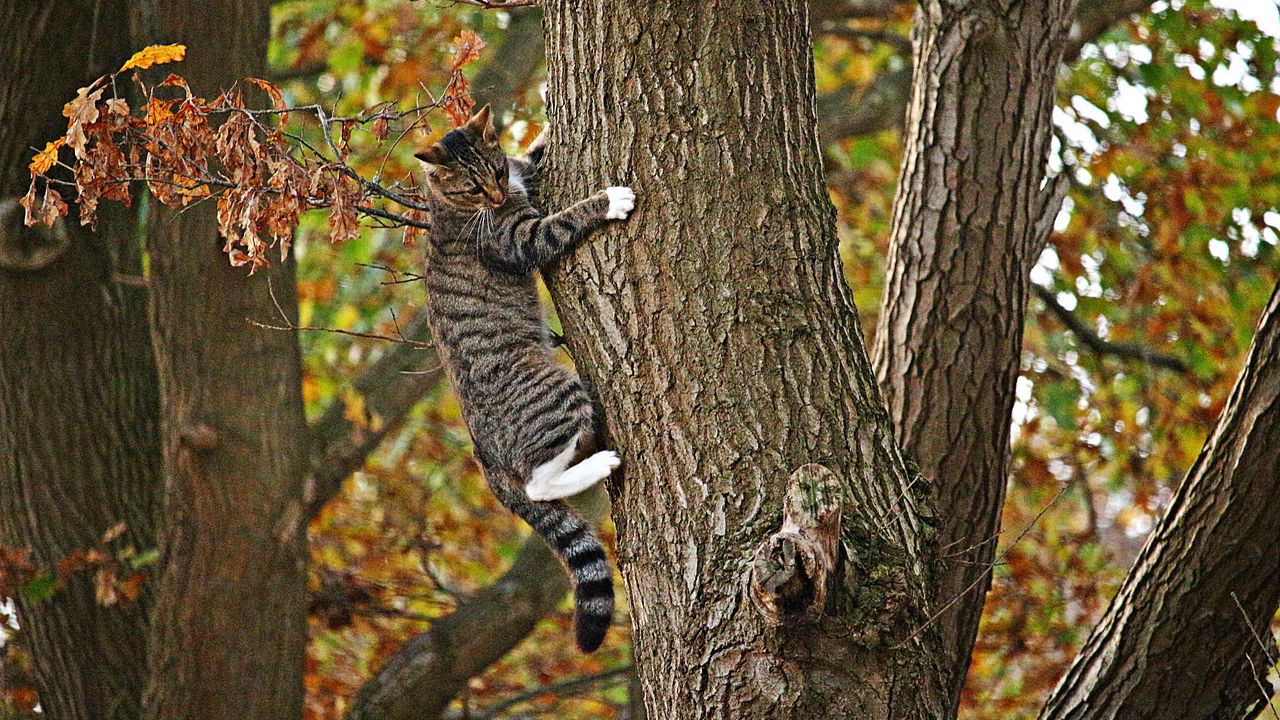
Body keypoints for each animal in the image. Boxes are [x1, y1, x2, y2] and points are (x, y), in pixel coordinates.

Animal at [414, 106, 634, 650]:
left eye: (494, 172)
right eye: (472, 188)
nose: (496, 197)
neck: (448, 206)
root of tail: (485, 458)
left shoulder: (518, 172)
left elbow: (533, 154)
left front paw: (544, 129)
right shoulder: (518, 239)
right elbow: (560, 220)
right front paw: (608, 200)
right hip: (557, 390)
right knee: (536, 486)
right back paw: (596, 465)